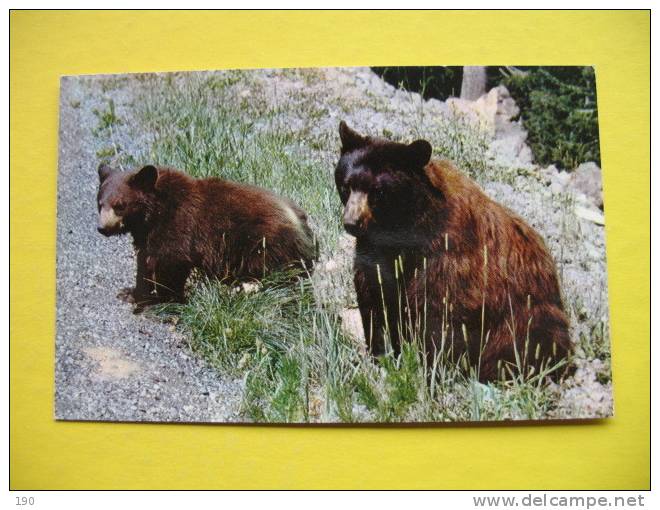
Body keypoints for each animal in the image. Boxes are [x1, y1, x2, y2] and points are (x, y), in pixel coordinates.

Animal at [94, 165, 318, 312]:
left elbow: (170, 262)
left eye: (120, 205)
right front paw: (131, 292)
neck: (154, 213)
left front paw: (162, 299)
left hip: (265, 247)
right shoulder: (146, 235)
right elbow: (145, 262)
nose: (102, 228)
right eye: (100, 203)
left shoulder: (178, 224)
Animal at [336, 121, 572, 380]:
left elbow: (439, 310)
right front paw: (381, 355)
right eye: (346, 185)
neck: (402, 229)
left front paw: (432, 367)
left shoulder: (447, 252)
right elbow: (374, 297)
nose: (352, 222)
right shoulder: (374, 252)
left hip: (529, 313)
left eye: (378, 191)